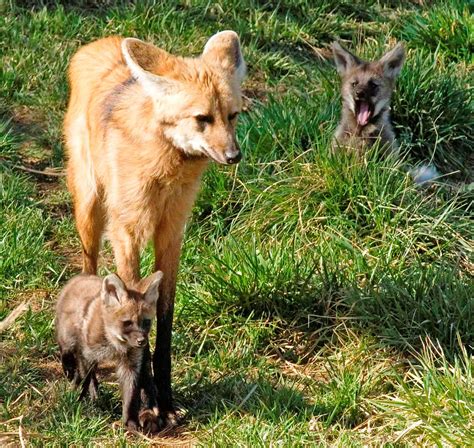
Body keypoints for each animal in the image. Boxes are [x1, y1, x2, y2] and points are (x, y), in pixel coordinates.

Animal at [55, 270, 162, 430]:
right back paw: (71, 374)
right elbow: (84, 383)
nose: (142, 341)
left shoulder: (130, 365)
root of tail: (82, 276)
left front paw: (130, 424)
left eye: (146, 322)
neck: (115, 345)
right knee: (67, 355)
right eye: (128, 323)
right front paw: (78, 405)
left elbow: (130, 399)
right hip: (69, 341)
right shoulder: (86, 354)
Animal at [63, 30, 246, 424]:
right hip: (90, 210)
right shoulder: (127, 234)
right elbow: (134, 309)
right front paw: (146, 399)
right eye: (202, 118)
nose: (234, 156)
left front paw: (165, 399)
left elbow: (163, 322)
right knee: (88, 270)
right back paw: (89, 379)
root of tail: (100, 41)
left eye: (232, 116)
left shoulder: (171, 233)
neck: (166, 165)